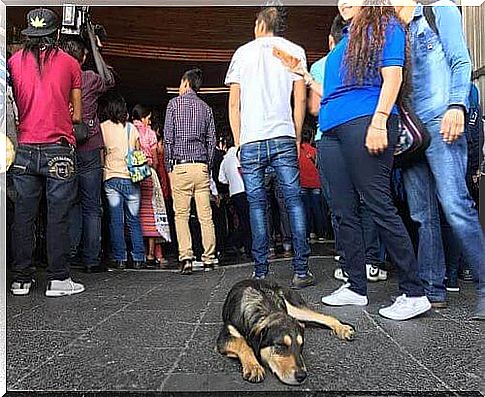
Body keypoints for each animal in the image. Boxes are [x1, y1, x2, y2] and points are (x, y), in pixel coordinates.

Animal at [217, 278, 354, 384]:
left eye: (301, 345)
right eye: (280, 345)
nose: (302, 376)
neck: (266, 310)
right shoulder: (225, 336)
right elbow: (243, 344)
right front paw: (254, 367)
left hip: (294, 307)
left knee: (325, 317)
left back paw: (343, 329)